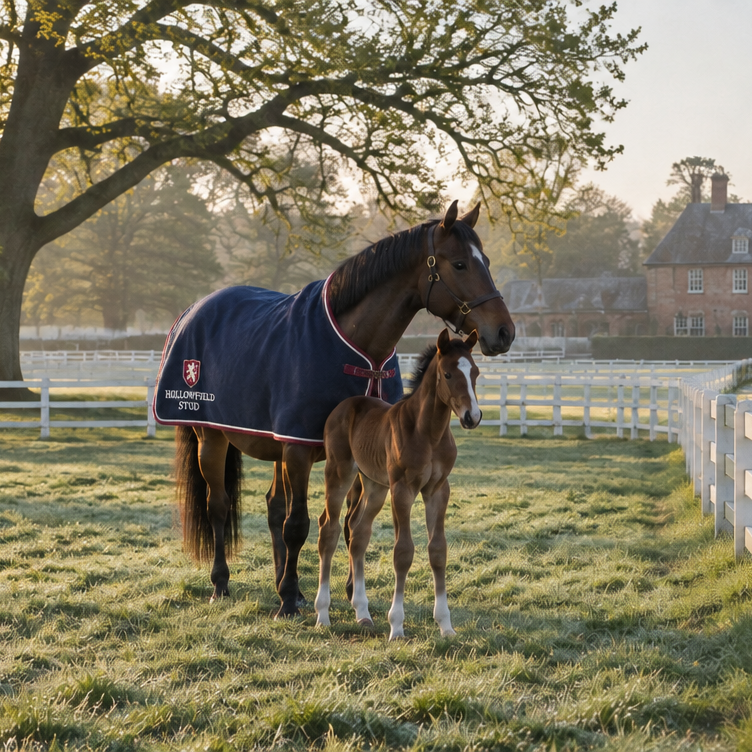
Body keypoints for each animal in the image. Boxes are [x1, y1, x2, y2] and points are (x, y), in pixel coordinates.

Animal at [315, 329, 480, 639]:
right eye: (448, 374)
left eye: (475, 372)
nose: (472, 417)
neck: (429, 433)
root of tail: (345, 405)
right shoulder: (403, 489)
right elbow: (403, 552)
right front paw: (397, 626)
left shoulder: (438, 490)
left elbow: (438, 550)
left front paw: (445, 625)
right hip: (340, 472)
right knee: (329, 530)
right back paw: (322, 613)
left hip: (375, 485)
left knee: (359, 534)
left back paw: (362, 612)